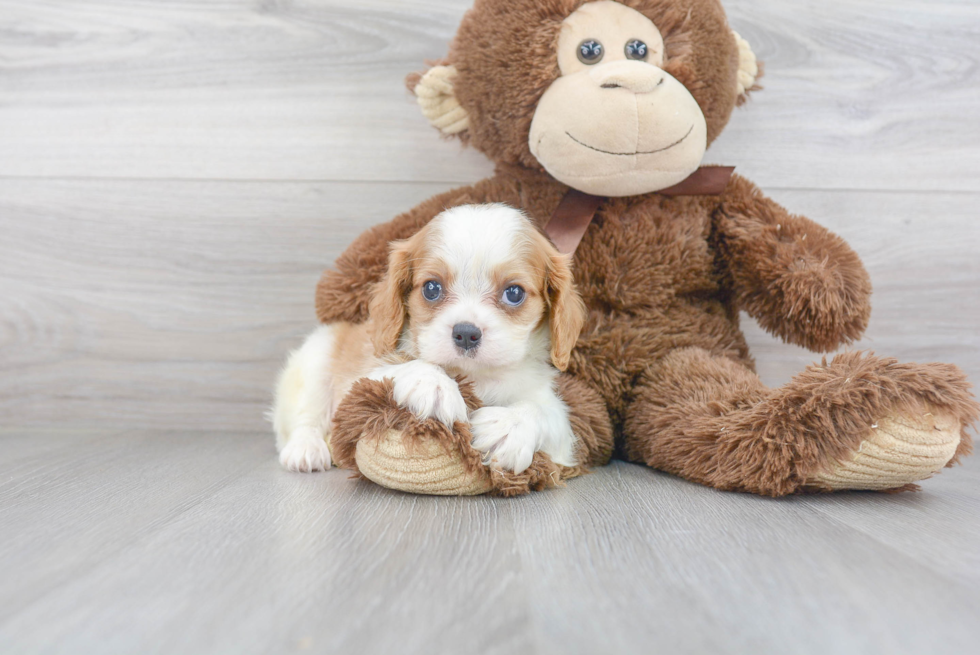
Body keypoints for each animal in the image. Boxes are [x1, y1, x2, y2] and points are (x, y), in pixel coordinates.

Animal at [272, 202, 584, 474]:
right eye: (432, 288)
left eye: (514, 293)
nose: (466, 333)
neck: (477, 376)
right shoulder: (359, 382)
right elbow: (396, 370)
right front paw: (434, 384)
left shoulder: (555, 423)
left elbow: (546, 412)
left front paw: (509, 426)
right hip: (317, 358)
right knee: (304, 417)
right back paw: (306, 449)